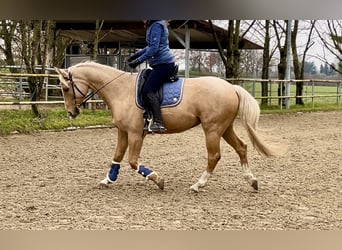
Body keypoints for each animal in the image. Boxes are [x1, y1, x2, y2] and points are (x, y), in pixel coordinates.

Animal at [54, 61, 282, 192]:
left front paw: (157, 179)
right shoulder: (123, 132)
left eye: (65, 88)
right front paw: (107, 180)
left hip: (212, 129)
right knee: (241, 147)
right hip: (224, 128)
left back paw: (198, 185)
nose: (71, 112)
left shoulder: (136, 134)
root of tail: (231, 87)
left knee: (214, 156)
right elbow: (117, 157)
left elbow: (133, 162)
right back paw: (252, 180)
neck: (120, 90)